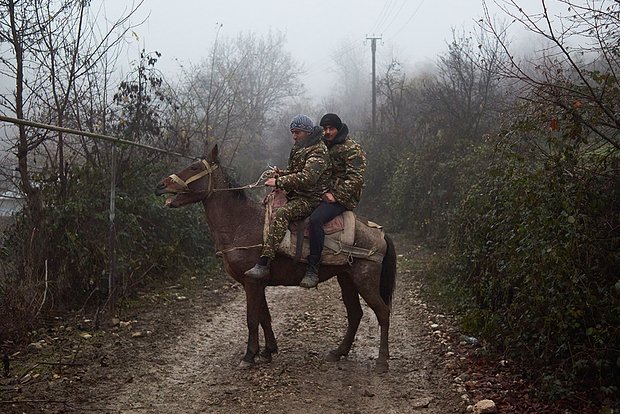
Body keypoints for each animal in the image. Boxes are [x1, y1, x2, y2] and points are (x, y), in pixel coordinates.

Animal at [155, 145, 398, 372]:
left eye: (195, 167)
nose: (161, 185)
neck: (241, 224)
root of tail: (380, 234)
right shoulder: (256, 281)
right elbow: (265, 316)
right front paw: (267, 351)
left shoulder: (252, 282)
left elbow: (252, 319)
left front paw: (249, 356)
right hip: (346, 279)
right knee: (355, 314)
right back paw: (338, 352)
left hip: (364, 281)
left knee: (383, 313)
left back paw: (382, 361)